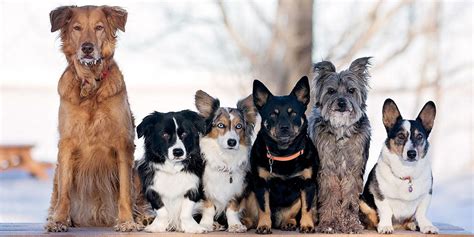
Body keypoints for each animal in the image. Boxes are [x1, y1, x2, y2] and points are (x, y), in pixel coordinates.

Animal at [244, 77, 318, 233]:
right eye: (273, 113)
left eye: (293, 113)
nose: (284, 127)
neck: (284, 154)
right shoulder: (261, 184)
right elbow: (264, 208)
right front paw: (264, 226)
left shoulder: (308, 184)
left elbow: (307, 208)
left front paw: (307, 225)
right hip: (251, 195)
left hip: (296, 201)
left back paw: (289, 223)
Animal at [310, 57, 372, 233]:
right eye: (331, 91)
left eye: (351, 90)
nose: (342, 103)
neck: (341, 131)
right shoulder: (326, 170)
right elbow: (330, 197)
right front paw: (329, 224)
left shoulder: (353, 171)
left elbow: (350, 200)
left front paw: (351, 224)